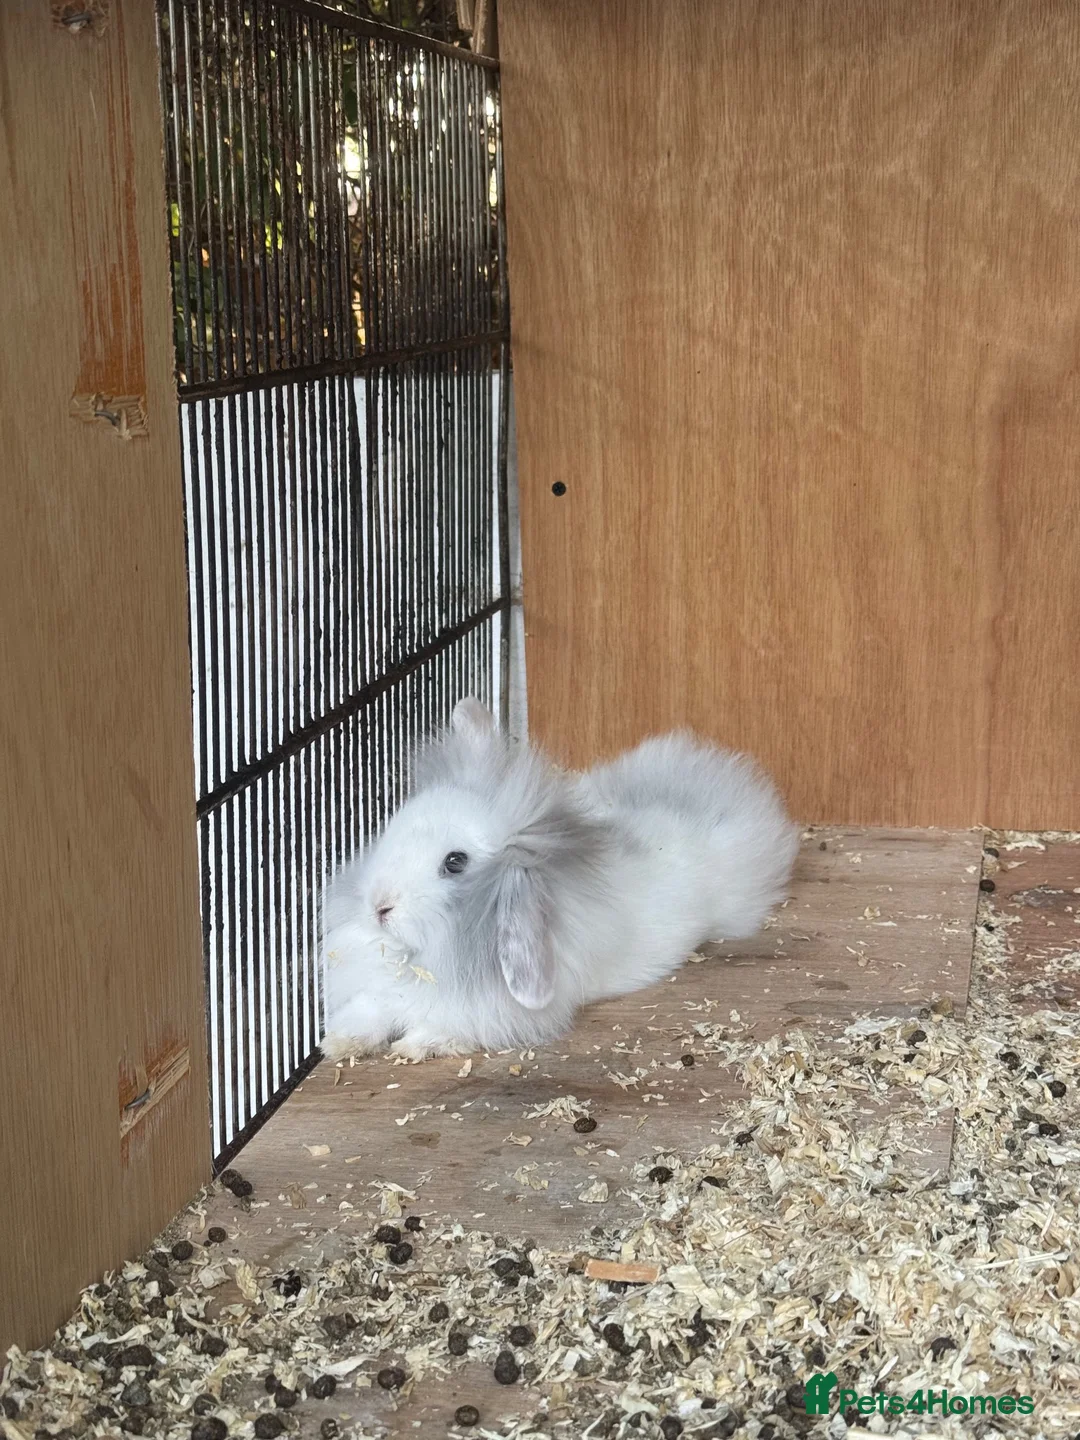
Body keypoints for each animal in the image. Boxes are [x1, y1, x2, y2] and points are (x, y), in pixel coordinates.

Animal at [320, 697, 799, 1062]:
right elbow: (367, 1012)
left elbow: (443, 1026)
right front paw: (337, 1043)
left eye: (455, 862)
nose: (378, 906)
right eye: (393, 825)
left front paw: (412, 1047)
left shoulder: (481, 1011)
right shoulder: (379, 991)